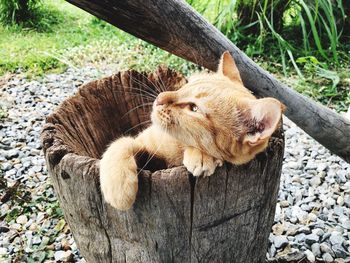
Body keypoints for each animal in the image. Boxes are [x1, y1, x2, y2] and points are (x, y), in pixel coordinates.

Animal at [99, 52, 284, 210]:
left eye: (194, 108)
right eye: (184, 87)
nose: (159, 99)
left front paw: (202, 156)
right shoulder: (140, 142)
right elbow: (120, 143)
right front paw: (118, 186)